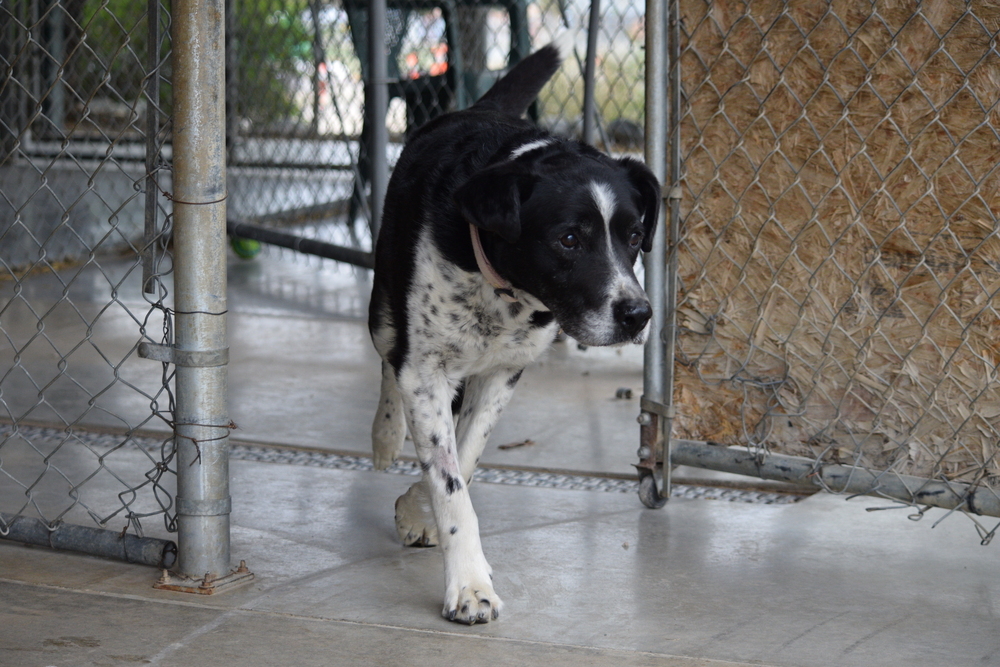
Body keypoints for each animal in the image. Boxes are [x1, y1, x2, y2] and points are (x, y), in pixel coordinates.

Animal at [372, 43, 660, 628]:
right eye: (569, 239)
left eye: (635, 234)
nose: (638, 314)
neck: (503, 289)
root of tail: (478, 106)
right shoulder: (427, 371)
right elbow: (451, 484)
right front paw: (470, 587)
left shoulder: (504, 372)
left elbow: (464, 457)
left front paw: (417, 510)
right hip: (383, 307)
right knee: (388, 355)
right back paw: (385, 434)